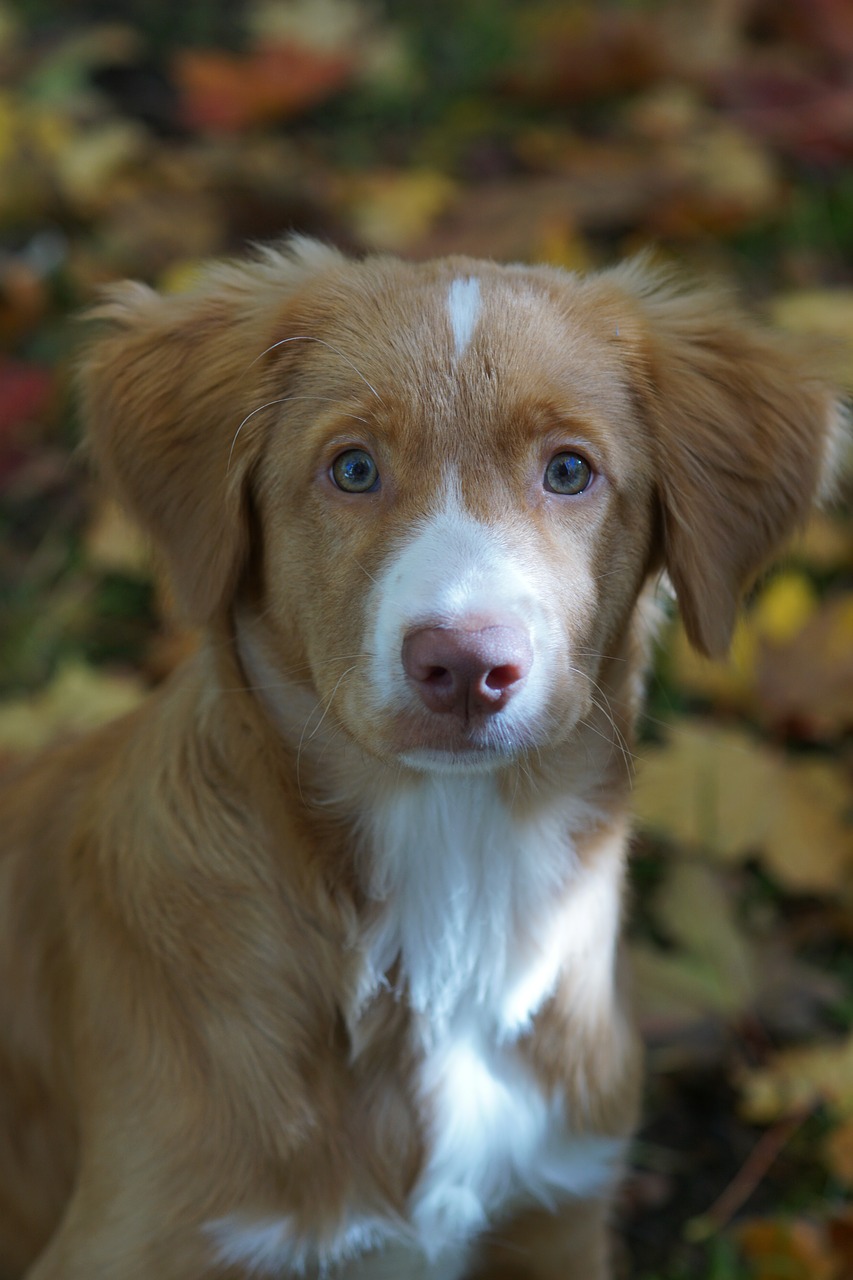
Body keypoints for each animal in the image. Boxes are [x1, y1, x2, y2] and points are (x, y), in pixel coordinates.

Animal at [0, 240, 835, 1280]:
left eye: (570, 470)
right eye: (353, 468)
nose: (466, 665)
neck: (452, 882)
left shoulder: (559, 1217)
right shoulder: (134, 1241)